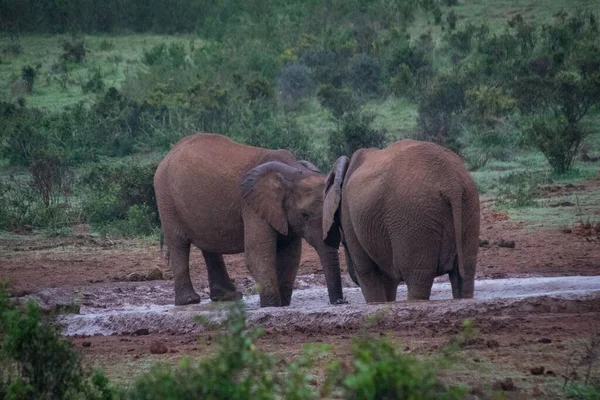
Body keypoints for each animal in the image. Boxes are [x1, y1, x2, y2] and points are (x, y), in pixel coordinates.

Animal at [152, 132, 344, 306]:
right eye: (304, 215)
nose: (339, 302)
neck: (295, 172)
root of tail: (169, 153)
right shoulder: (252, 206)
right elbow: (256, 255)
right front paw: (272, 307)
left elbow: (291, 256)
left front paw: (282, 305)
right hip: (166, 197)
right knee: (178, 243)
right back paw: (189, 301)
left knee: (209, 243)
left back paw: (228, 297)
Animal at [322, 139, 480, 302]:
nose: (341, 302)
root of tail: (451, 183)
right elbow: (388, 278)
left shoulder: (349, 215)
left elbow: (367, 272)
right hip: (469, 204)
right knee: (465, 275)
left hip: (414, 215)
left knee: (418, 278)